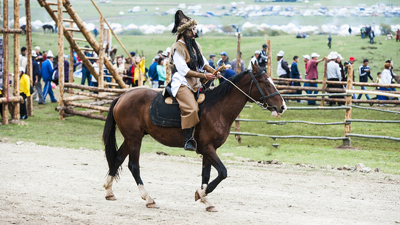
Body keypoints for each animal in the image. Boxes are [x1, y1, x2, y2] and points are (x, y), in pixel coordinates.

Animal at [101, 62, 286, 212]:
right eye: (265, 83)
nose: (282, 106)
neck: (218, 108)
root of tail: (122, 96)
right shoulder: (207, 148)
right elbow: (223, 172)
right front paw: (201, 194)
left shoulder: (209, 150)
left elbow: (207, 175)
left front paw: (206, 200)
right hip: (134, 139)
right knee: (134, 166)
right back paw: (148, 198)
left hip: (131, 138)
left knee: (117, 159)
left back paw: (109, 191)